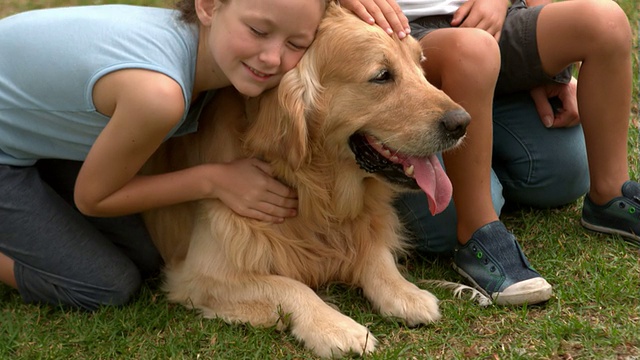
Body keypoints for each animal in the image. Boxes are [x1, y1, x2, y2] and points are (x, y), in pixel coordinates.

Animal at [144, 2, 470, 358]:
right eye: (382, 75)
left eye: (419, 62)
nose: (462, 123)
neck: (315, 192)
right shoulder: (201, 273)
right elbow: (289, 286)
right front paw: (335, 327)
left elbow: (376, 254)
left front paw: (405, 292)